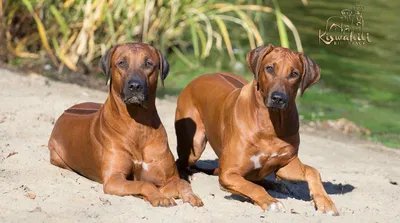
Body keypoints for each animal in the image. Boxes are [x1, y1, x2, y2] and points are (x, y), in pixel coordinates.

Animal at [49, 42, 203, 207]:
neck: (138, 125)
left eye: (148, 64)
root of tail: (67, 110)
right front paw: (158, 197)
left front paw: (191, 196)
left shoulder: (169, 177)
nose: (135, 86)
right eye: (122, 63)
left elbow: (181, 182)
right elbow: (144, 183)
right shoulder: (114, 179)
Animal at [174, 44, 338, 214]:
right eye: (270, 68)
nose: (278, 98)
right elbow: (253, 187)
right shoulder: (228, 173)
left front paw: (325, 201)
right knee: (181, 161)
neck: (271, 124)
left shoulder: (286, 164)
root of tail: (198, 78)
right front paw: (270, 201)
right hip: (195, 144)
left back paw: (275, 184)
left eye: (294, 73)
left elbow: (313, 171)